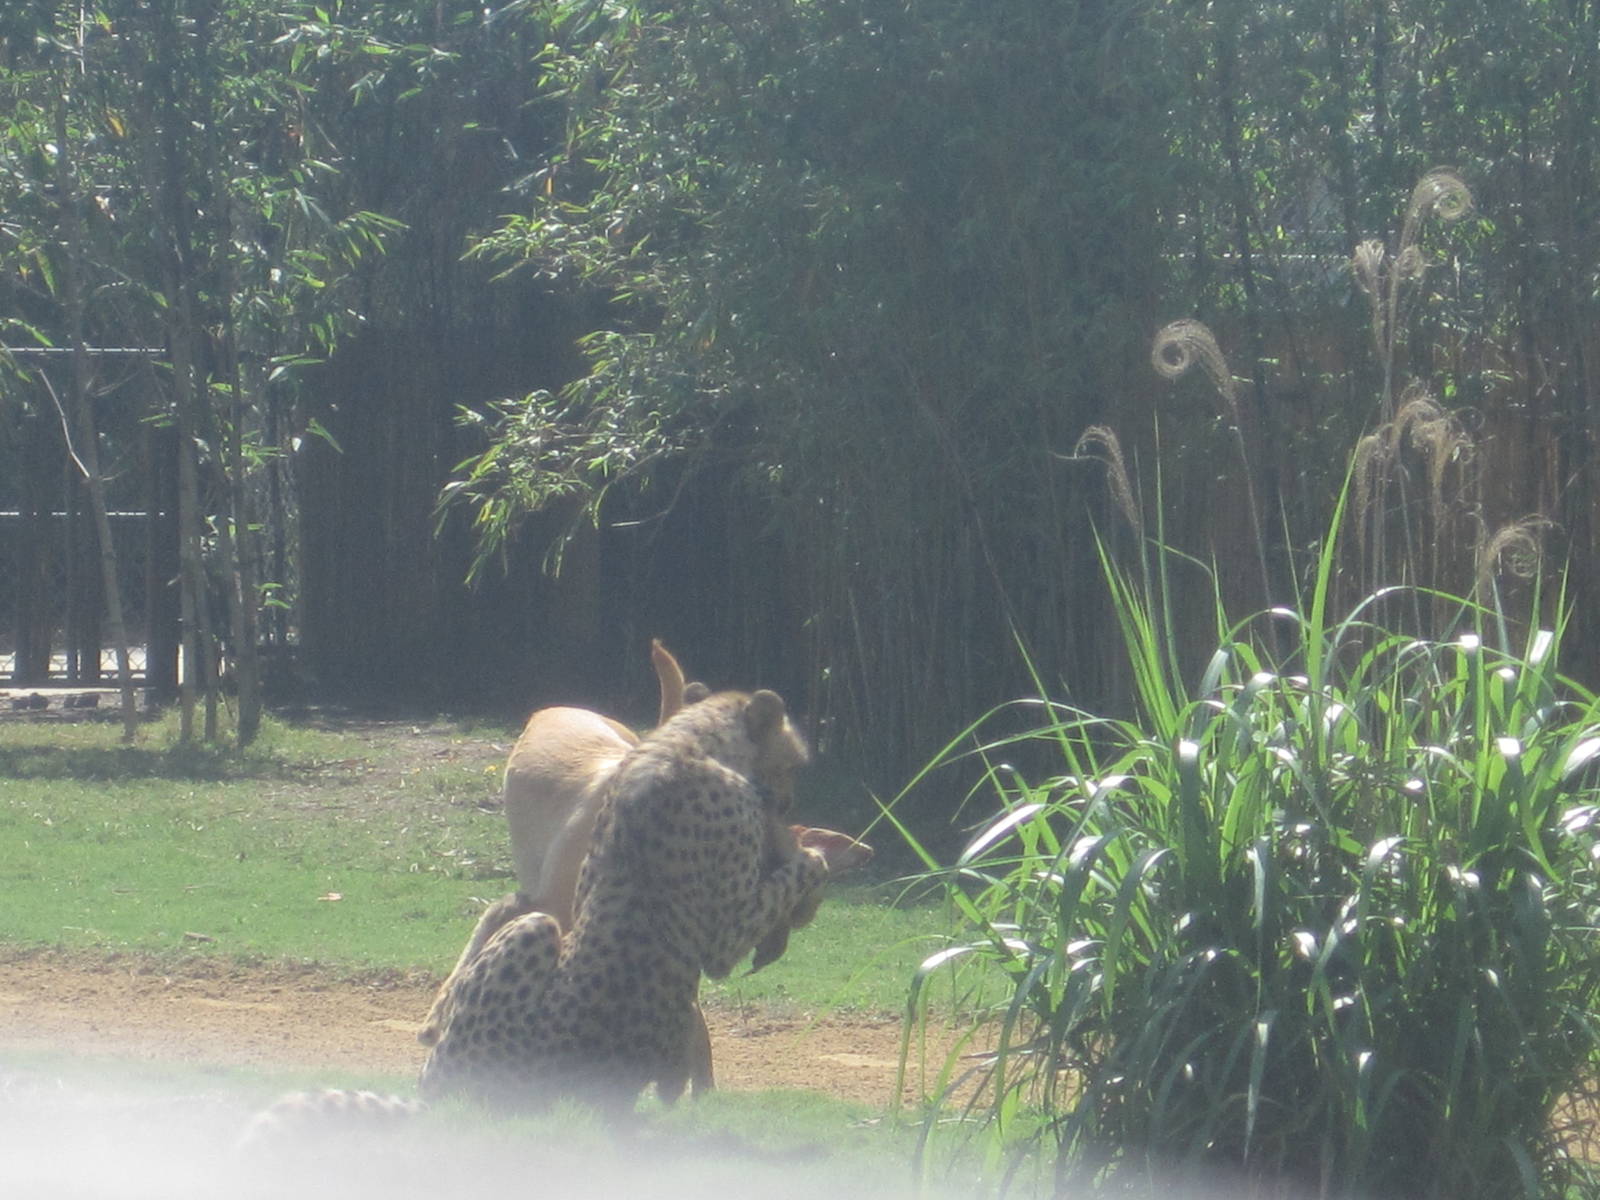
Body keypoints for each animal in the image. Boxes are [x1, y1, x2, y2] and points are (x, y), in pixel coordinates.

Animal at [415, 686, 830, 1117]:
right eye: (791, 764)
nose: (788, 801)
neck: (689, 744)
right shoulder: (725, 937)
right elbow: (795, 876)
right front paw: (816, 858)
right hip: (529, 950)